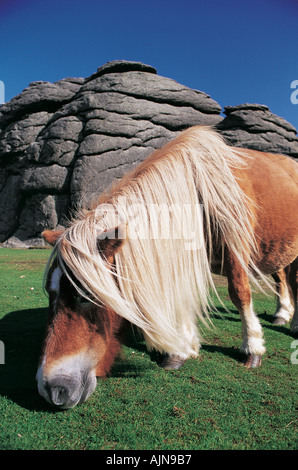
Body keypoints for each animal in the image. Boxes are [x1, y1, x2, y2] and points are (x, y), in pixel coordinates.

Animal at [37, 126, 298, 408]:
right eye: (50, 293)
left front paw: (252, 347)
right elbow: (181, 296)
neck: (200, 190)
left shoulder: (236, 249)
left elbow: (240, 293)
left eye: (84, 296)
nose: (51, 389)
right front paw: (181, 350)